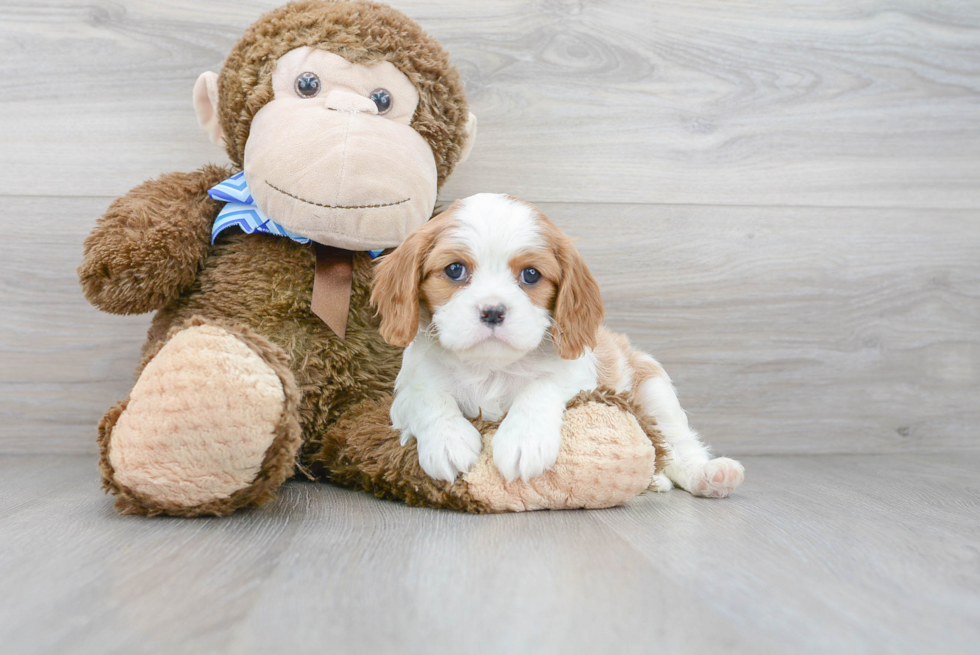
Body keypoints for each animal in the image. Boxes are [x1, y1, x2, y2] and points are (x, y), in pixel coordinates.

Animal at [374, 193, 744, 498]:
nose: (493, 311)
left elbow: (540, 387)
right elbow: (428, 397)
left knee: (678, 445)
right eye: (454, 270)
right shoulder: (406, 393)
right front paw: (448, 441)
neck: (492, 367)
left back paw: (709, 474)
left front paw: (523, 440)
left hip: (655, 389)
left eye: (531, 275)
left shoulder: (579, 379)